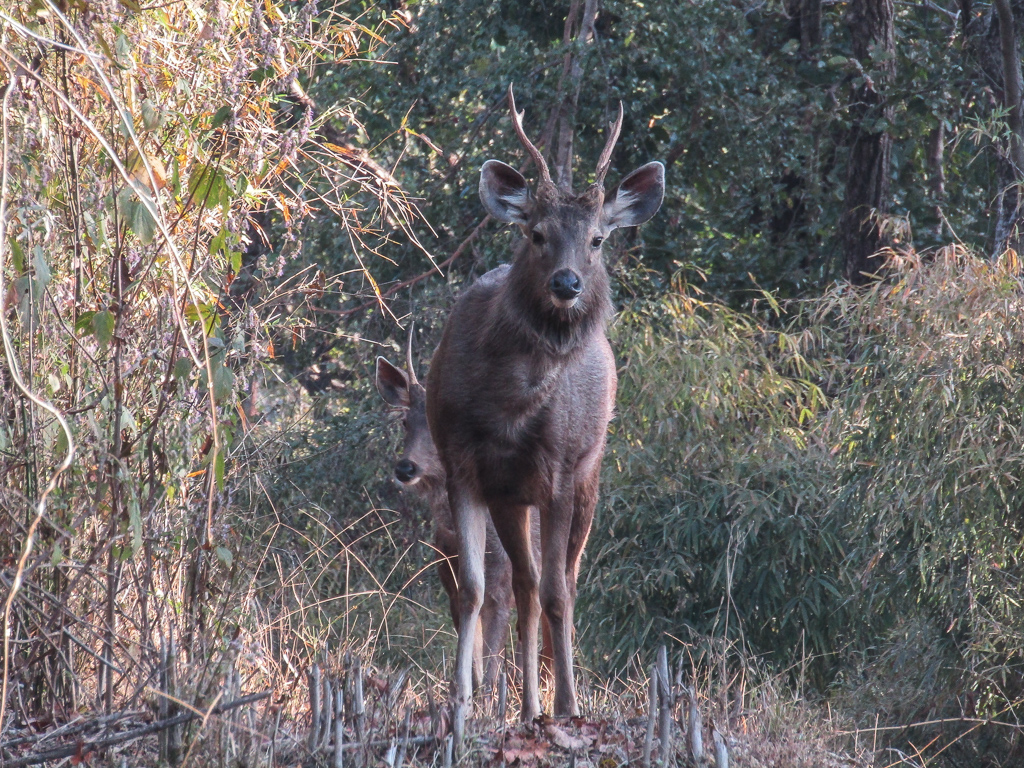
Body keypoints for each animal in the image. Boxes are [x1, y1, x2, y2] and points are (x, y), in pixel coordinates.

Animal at [428, 83, 667, 741]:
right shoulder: (464, 467)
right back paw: (525, 708)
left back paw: (548, 705)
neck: (512, 407)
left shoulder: (561, 471)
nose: (566, 284)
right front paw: (460, 705)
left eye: (598, 240)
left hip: (590, 474)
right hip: (514, 498)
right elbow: (473, 590)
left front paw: (568, 706)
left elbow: (561, 592)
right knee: (528, 583)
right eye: (535, 233)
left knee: (564, 582)